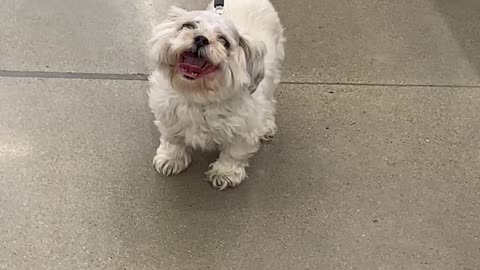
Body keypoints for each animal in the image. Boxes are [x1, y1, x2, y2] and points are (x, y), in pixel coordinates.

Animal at [148, 0, 284, 190]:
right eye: (187, 26)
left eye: (224, 41)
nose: (201, 38)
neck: (199, 95)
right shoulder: (168, 115)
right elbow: (172, 139)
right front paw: (171, 159)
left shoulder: (243, 129)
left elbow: (234, 153)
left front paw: (225, 172)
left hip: (272, 72)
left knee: (269, 101)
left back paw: (267, 125)